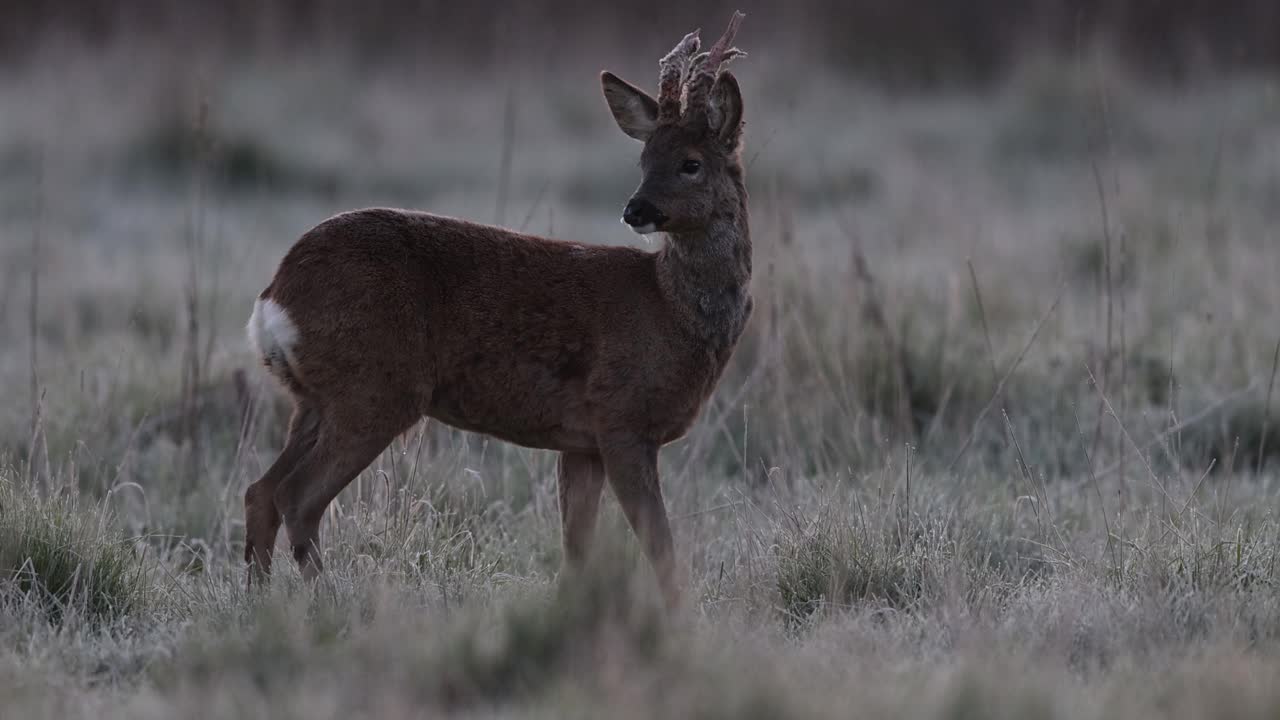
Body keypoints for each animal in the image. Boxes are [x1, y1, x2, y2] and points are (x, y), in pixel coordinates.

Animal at [241, 11, 747, 604]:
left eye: (691, 163)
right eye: (644, 160)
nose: (636, 209)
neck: (669, 308)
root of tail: (275, 297)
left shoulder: (581, 442)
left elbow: (578, 549)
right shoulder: (622, 419)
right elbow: (661, 547)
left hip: (315, 398)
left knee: (260, 491)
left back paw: (256, 602)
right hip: (374, 389)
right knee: (297, 498)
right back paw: (331, 602)